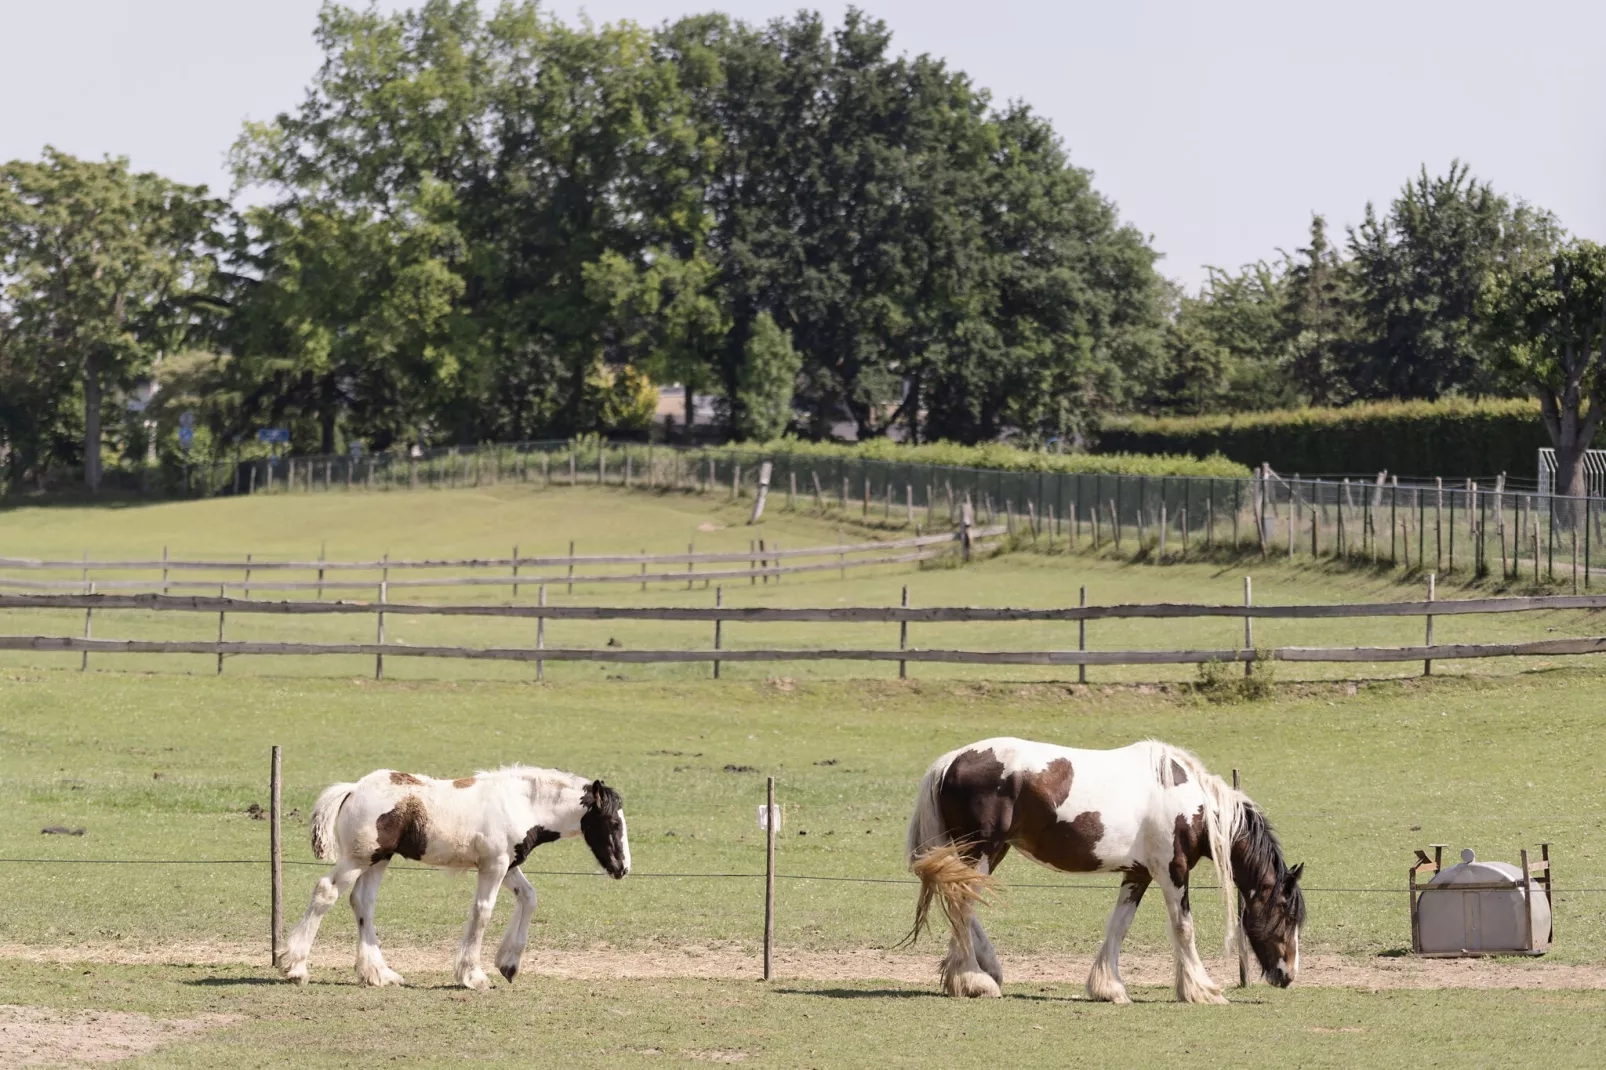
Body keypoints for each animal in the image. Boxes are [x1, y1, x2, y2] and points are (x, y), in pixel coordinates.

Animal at [279, 761, 629, 989]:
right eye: (614, 823)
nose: (622, 868)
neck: (523, 803)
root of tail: (353, 789)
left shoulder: (507, 865)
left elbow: (529, 898)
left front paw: (508, 964)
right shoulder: (494, 866)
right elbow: (483, 911)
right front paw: (472, 976)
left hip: (377, 860)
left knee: (363, 902)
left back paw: (379, 974)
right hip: (358, 858)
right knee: (326, 891)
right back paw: (295, 967)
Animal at [905, 732, 1304, 1002]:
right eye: (1286, 914)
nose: (1288, 974)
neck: (1194, 803)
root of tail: (950, 760)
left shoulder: (1138, 874)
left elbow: (1119, 925)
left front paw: (1108, 987)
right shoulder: (1172, 871)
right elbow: (1184, 928)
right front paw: (1202, 990)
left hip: (985, 853)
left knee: (962, 904)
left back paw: (984, 968)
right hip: (982, 851)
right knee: (961, 904)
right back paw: (975, 979)